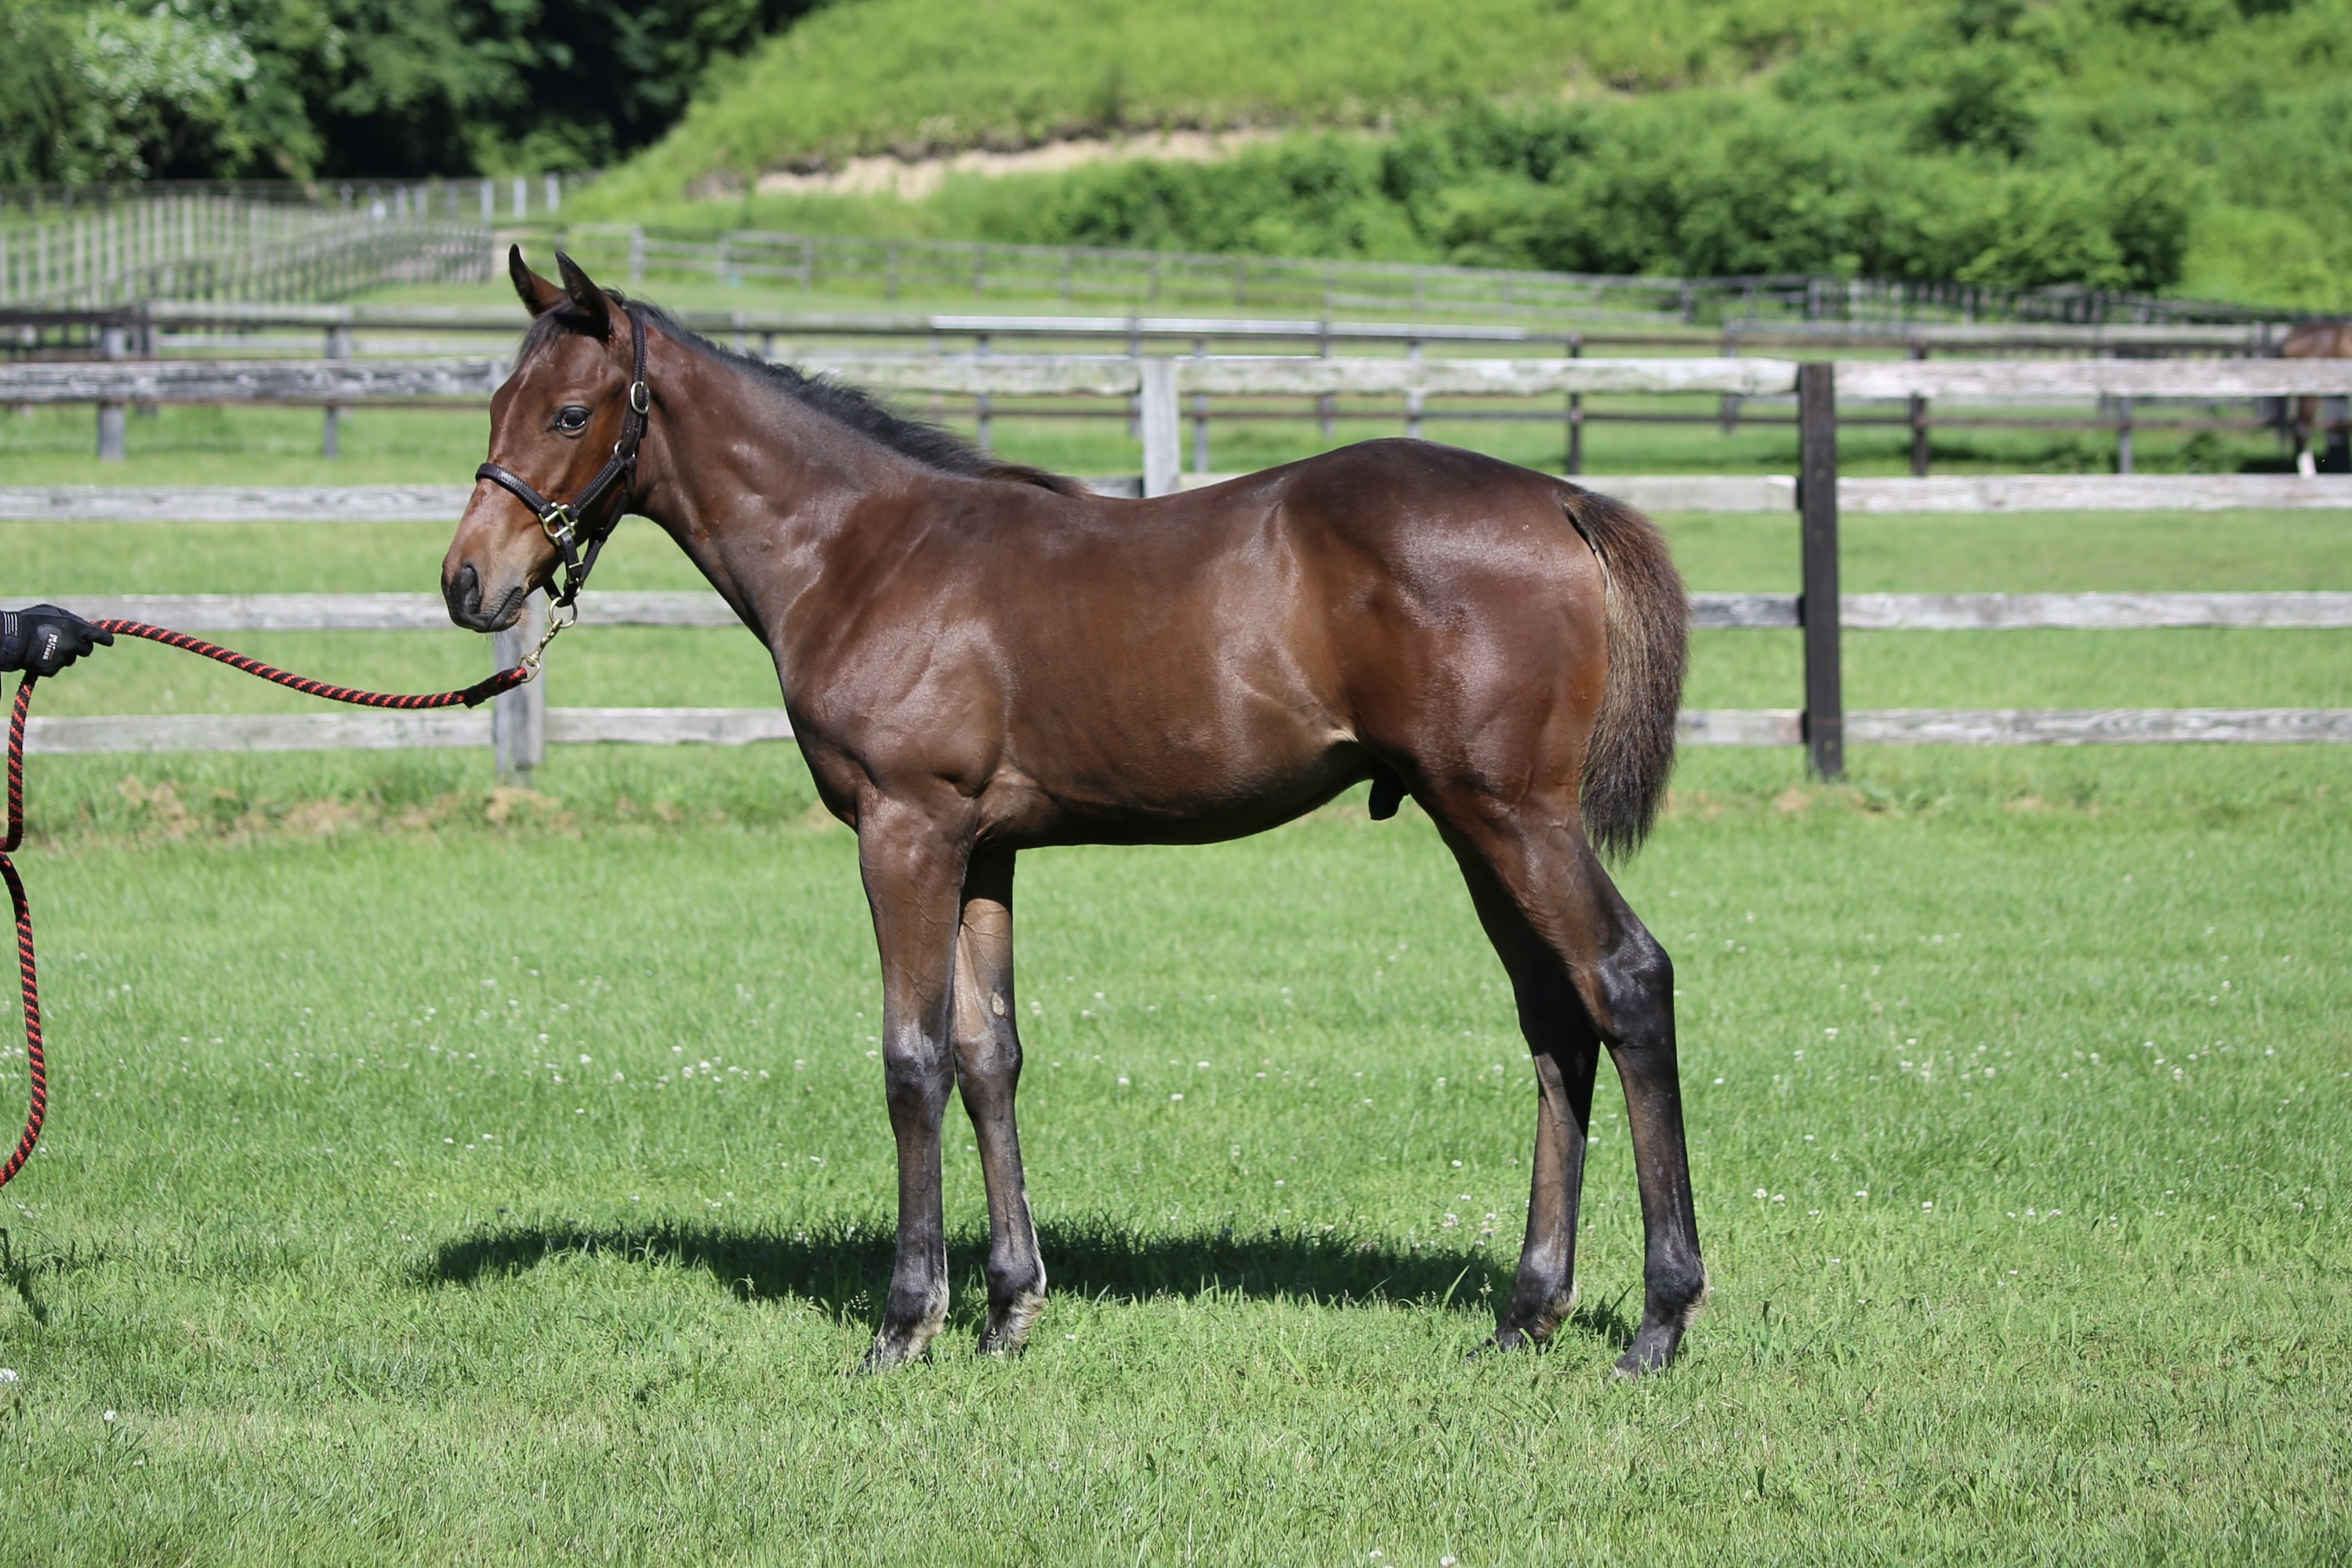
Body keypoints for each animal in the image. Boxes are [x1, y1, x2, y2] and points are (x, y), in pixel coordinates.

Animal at [443, 248, 1705, 1376]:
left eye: (568, 413)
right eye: (497, 404)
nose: (467, 583)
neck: (862, 552)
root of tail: (1561, 498)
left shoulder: (905, 831)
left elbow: (912, 1060)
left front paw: (906, 1323)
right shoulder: (984, 848)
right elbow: (988, 1054)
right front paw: (1009, 1309)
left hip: (1515, 817)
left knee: (1627, 980)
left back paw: (1659, 1320)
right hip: (1474, 825)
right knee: (1555, 1020)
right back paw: (1527, 1311)